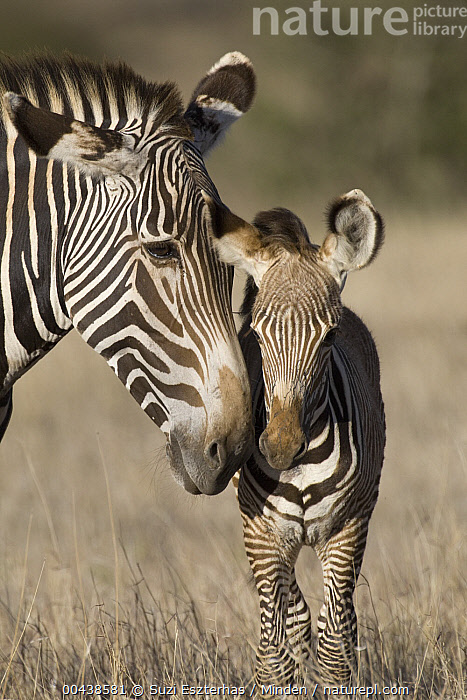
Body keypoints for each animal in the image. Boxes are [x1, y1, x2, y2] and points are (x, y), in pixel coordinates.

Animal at [207, 189, 386, 688]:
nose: (281, 448)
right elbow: (274, 655)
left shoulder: (346, 530)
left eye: (328, 336)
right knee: (298, 619)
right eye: (256, 334)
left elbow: (333, 648)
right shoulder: (262, 535)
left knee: (337, 620)